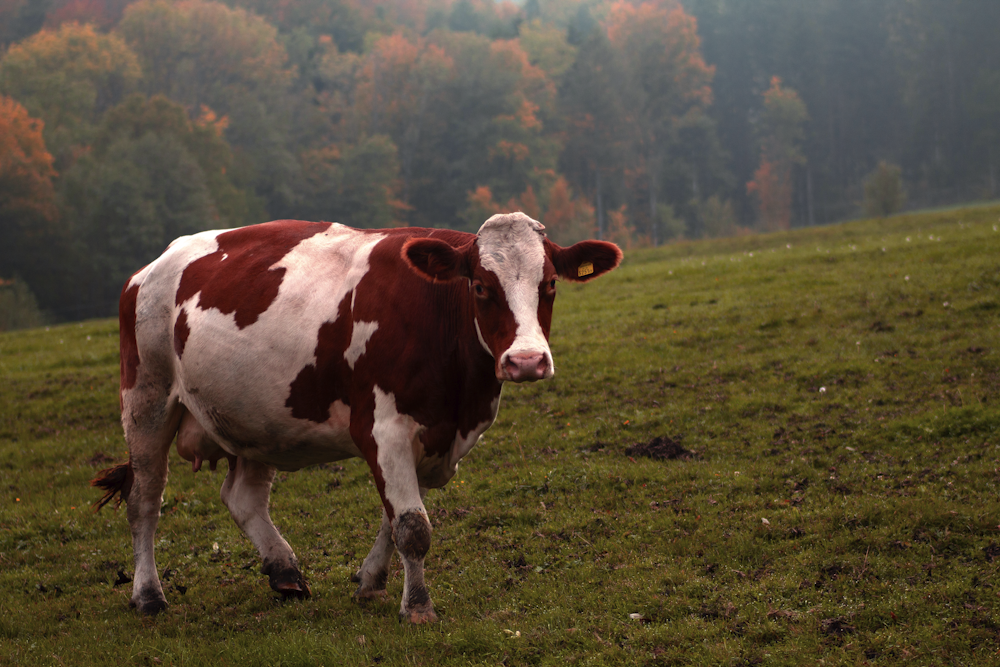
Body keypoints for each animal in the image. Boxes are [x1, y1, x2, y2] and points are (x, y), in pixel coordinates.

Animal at [95, 213, 624, 620]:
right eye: (480, 286)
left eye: (549, 284)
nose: (526, 362)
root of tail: (151, 267)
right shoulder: (383, 428)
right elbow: (412, 526)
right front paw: (418, 607)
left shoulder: (435, 435)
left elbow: (394, 520)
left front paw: (370, 581)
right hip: (146, 399)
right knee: (144, 500)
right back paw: (149, 596)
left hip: (256, 416)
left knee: (243, 498)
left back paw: (285, 572)